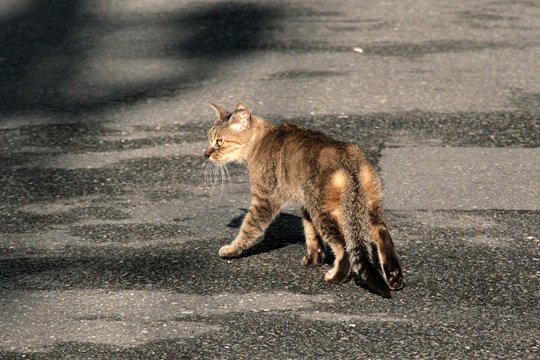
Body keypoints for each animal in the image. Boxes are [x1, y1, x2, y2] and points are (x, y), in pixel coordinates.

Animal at [205, 101, 402, 298]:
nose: (205, 154)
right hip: (366, 207)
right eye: (208, 139)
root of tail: (349, 160)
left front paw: (231, 250)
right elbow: (310, 233)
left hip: (324, 212)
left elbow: (248, 229)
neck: (261, 140)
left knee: (345, 247)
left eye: (219, 141)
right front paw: (313, 258)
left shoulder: (265, 200)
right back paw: (394, 277)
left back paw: (335, 276)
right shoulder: (305, 205)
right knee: (382, 233)